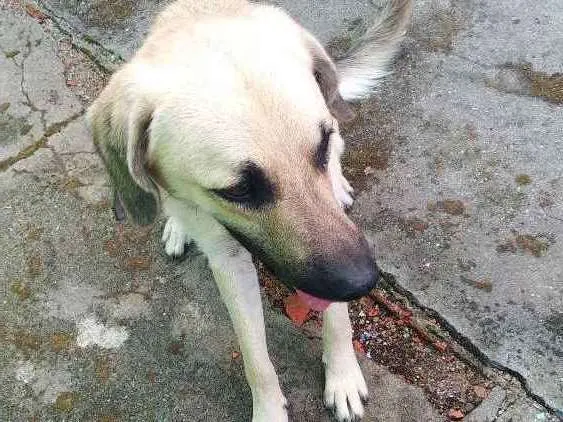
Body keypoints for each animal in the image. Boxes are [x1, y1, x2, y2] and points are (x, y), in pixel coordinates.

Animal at [89, 1, 414, 420]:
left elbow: (337, 319)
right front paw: (270, 407)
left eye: (322, 144)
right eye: (239, 189)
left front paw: (342, 374)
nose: (361, 283)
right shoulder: (228, 260)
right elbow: (255, 357)